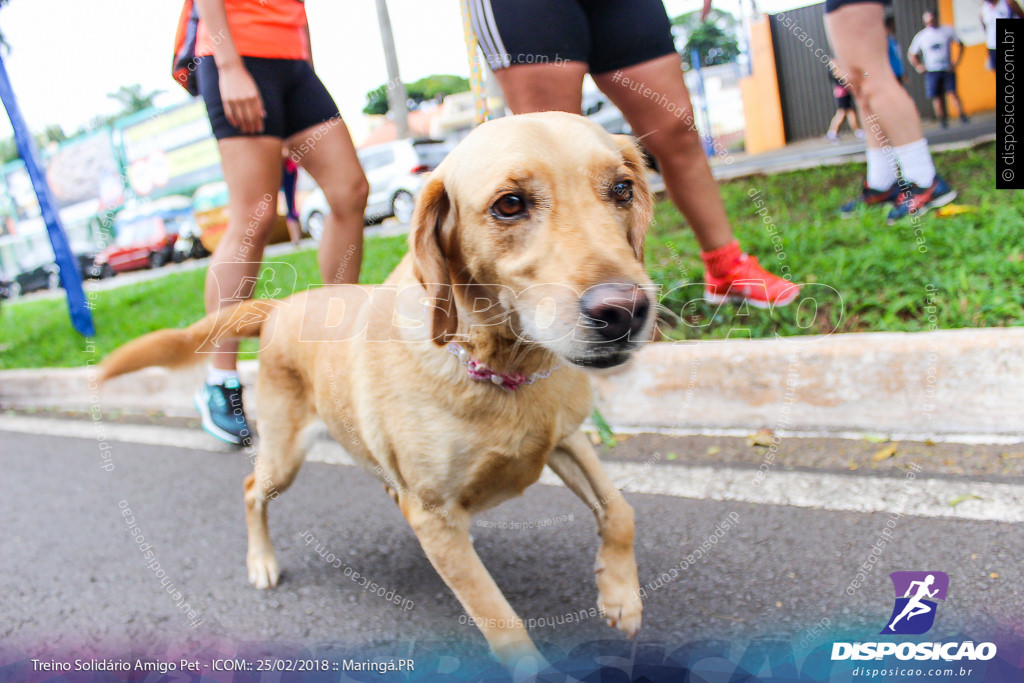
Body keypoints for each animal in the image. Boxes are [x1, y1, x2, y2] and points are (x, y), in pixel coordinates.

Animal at [101, 111, 655, 667]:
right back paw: (261, 561)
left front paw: (621, 596)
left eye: (622, 189)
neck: (503, 365)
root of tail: (279, 307)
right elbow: (501, 622)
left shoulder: (566, 439)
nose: (625, 311)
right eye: (510, 204)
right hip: (284, 455)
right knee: (252, 488)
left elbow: (621, 511)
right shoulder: (436, 518)